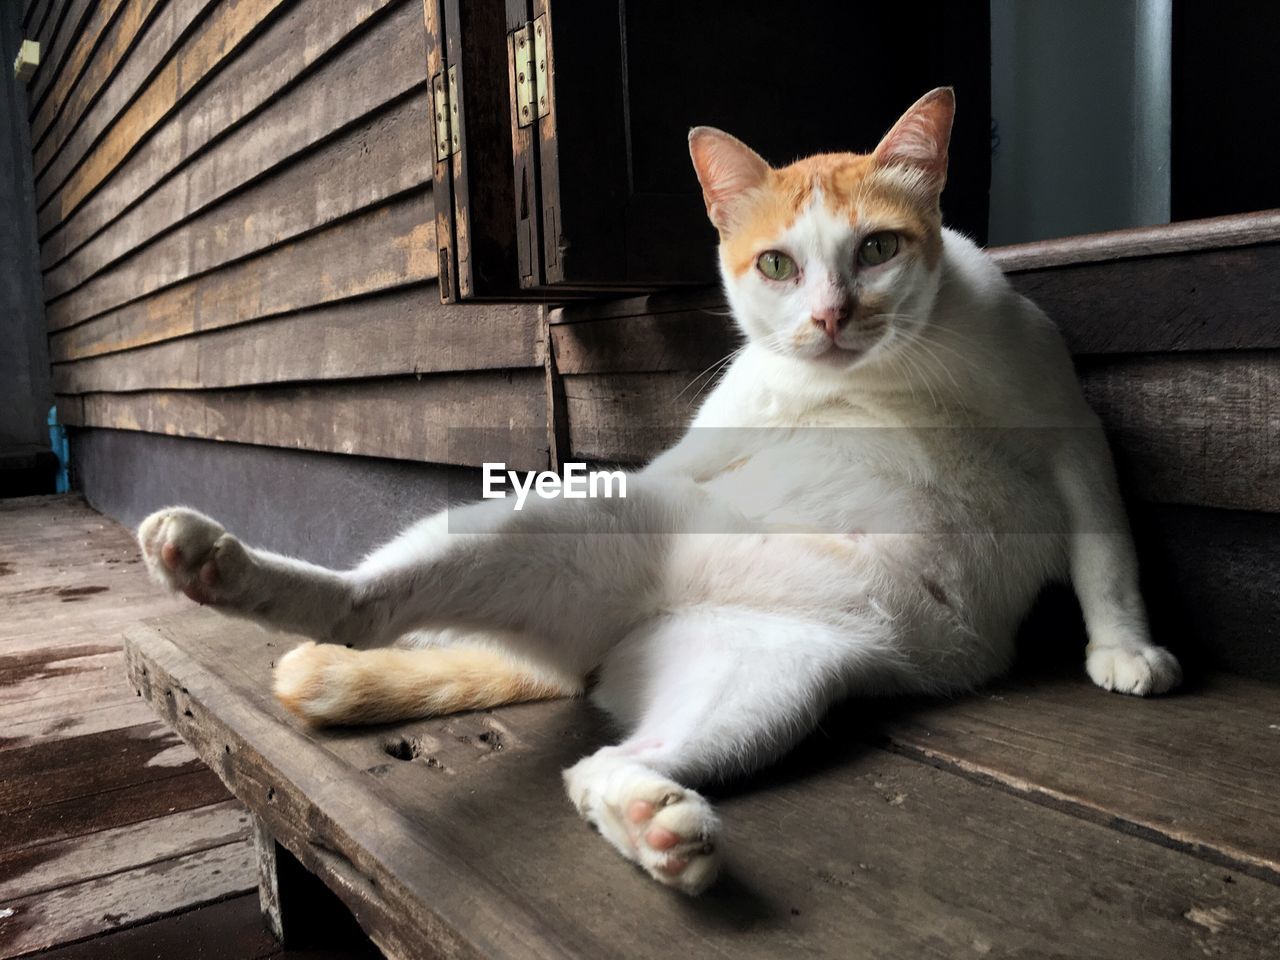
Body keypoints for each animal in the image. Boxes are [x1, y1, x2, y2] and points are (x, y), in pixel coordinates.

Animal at [137, 88, 1177, 896]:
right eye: (777, 264)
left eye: (879, 248)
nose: (830, 316)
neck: (896, 378)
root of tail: (608, 647)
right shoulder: (703, 441)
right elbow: (1109, 554)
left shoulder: (1071, 434)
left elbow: (1107, 559)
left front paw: (1126, 651)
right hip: (570, 520)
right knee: (367, 602)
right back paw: (222, 565)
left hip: (767, 687)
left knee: (598, 766)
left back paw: (654, 824)